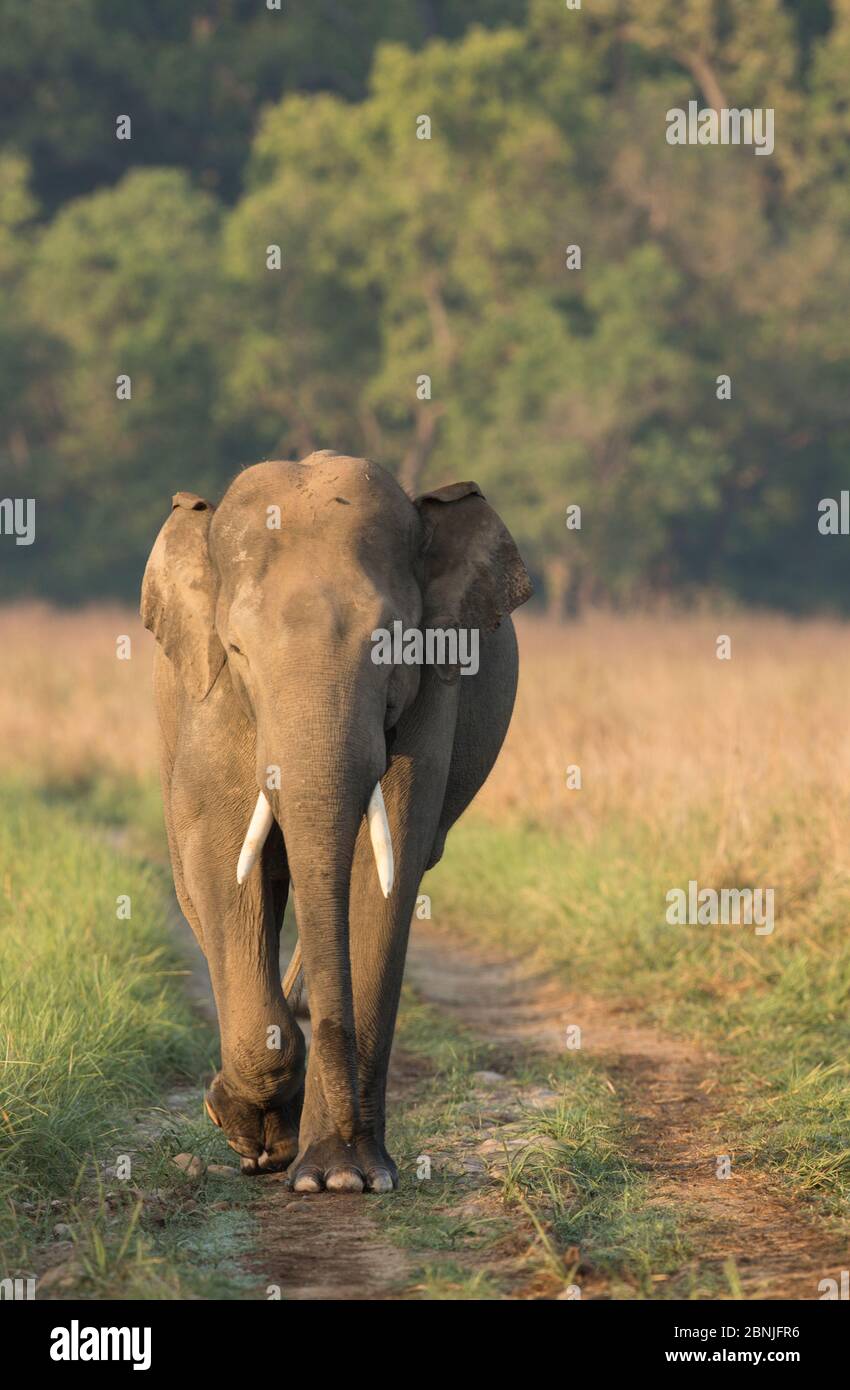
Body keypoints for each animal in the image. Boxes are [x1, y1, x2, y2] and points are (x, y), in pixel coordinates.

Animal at [139, 450, 530, 1189]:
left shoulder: (432, 695)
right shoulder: (213, 701)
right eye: (237, 649)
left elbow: (387, 867)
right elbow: (223, 863)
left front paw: (345, 1177)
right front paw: (250, 1130)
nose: (343, 1163)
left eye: (392, 644)